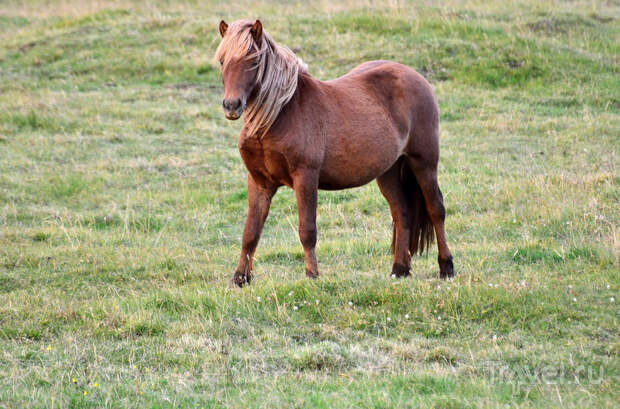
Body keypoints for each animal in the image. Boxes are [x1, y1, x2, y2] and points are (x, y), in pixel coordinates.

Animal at [216, 19, 452, 286]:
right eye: (222, 61)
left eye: (254, 61)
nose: (231, 105)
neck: (278, 115)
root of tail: (416, 77)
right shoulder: (259, 182)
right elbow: (250, 232)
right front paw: (240, 278)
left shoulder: (305, 177)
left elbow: (307, 230)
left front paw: (312, 275)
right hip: (389, 172)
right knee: (402, 213)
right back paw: (399, 269)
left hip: (424, 162)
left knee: (436, 209)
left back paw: (446, 268)